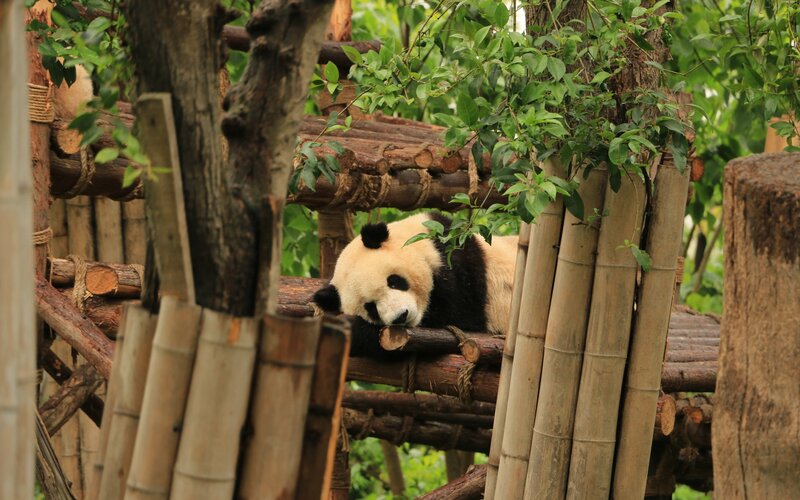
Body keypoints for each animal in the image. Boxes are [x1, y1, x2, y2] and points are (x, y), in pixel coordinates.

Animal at [312, 212, 517, 355]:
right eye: (370, 307)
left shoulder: (459, 265)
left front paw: (354, 328)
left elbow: (458, 315)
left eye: (394, 281)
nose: (401, 316)